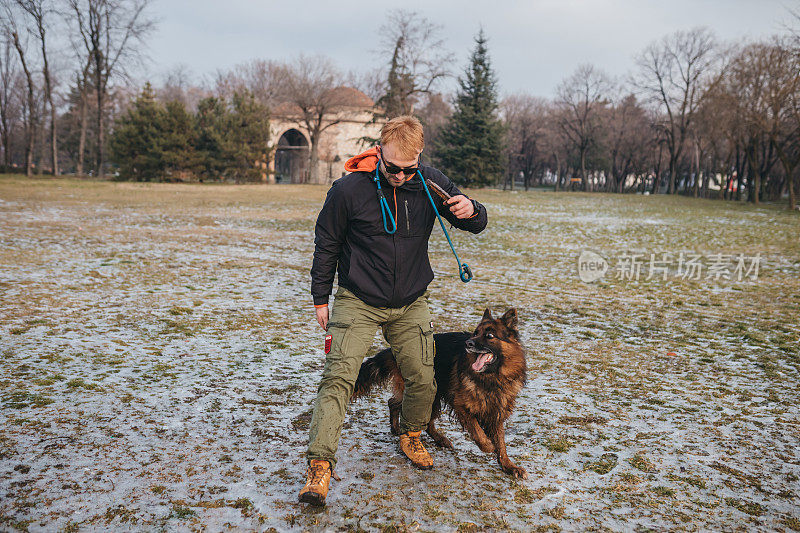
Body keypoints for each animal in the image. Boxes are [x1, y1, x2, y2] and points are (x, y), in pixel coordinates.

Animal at [352, 308, 528, 478]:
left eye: (489, 335)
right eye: (475, 333)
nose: (468, 343)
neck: (492, 378)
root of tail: (395, 351)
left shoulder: (496, 412)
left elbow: (501, 443)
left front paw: (508, 466)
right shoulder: (461, 406)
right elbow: (478, 432)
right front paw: (488, 446)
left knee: (395, 404)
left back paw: (405, 430)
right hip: (430, 394)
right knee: (413, 413)